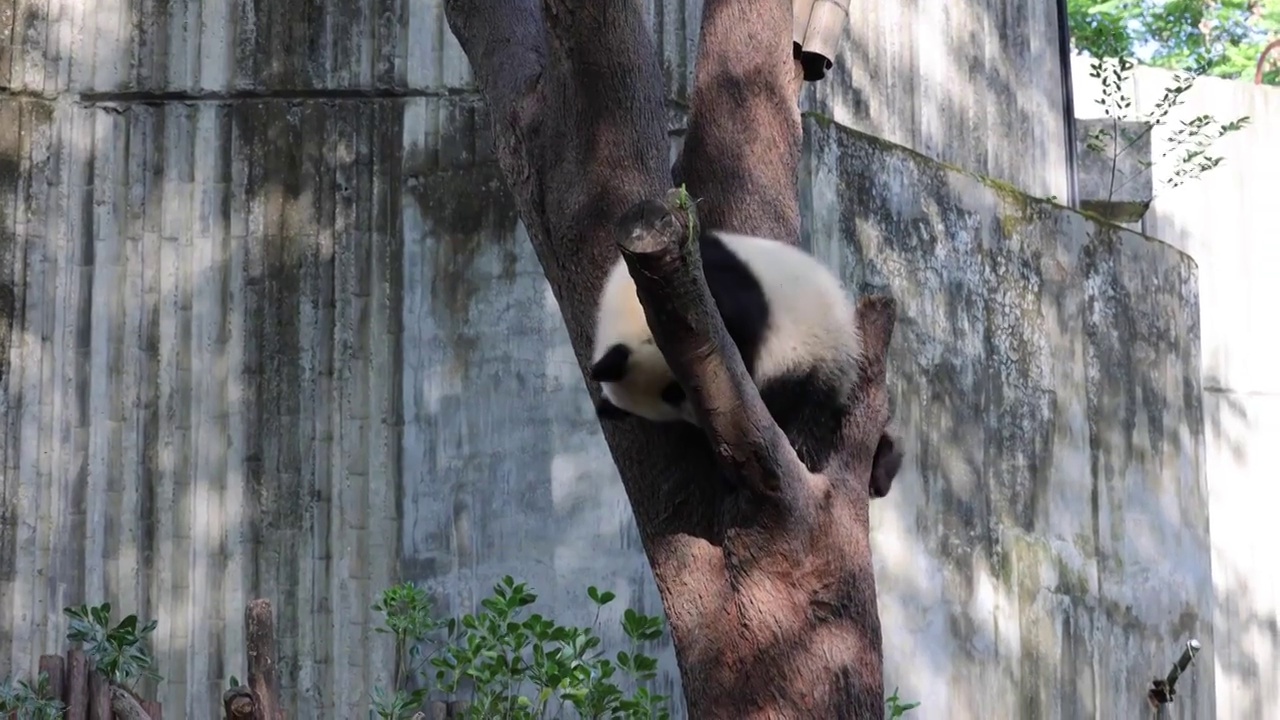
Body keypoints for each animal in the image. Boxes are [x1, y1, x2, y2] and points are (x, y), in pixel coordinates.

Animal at [586, 226, 901, 497]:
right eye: (669, 408)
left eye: (672, 391)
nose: (701, 421)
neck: (629, 301)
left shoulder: (699, 282)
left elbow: (740, 321)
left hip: (823, 349)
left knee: (812, 402)